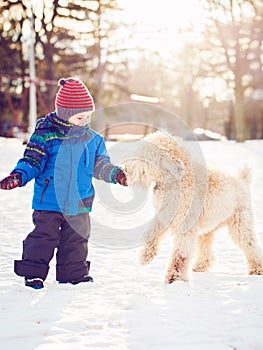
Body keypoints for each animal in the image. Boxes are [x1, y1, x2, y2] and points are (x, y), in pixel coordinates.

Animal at [124, 132, 263, 284]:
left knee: (251, 246)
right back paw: (200, 267)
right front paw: (145, 256)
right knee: (207, 252)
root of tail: (243, 180)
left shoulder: (184, 226)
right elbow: (151, 233)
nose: (125, 169)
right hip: (207, 230)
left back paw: (257, 269)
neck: (177, 180)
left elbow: (180, 254)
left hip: (241, 225)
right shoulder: (163, 216)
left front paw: (174, 278)